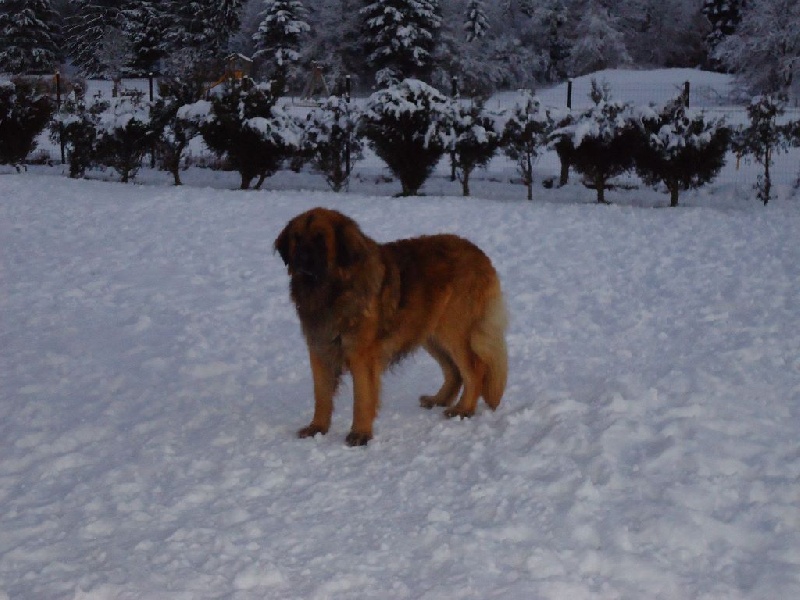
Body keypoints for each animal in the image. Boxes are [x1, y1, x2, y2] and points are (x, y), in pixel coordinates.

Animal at [276, 207, 510, 446]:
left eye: (320, 239)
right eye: (296, 238)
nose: (300, 258)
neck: (333, 290)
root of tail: (479, 253)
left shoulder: (362, 354)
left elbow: (362, 397)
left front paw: (360, 433)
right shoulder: (320, 350)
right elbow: (321, 394)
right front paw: (317, 428)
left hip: (453, 330)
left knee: (475, 369)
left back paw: (463, 409)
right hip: (430, 334)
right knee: (454, 371)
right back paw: (439, 399)